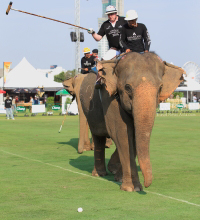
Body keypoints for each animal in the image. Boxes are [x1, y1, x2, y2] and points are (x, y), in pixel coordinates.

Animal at [64, 51, 184, 191]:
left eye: (160, 88)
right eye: (127, 87)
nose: (146, 185)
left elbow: (133, 135)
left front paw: (121, 177)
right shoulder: (109, 97)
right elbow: (121, 134)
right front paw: (131, 188)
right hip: (90, 110)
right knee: (98, 136)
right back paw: (99, 174)